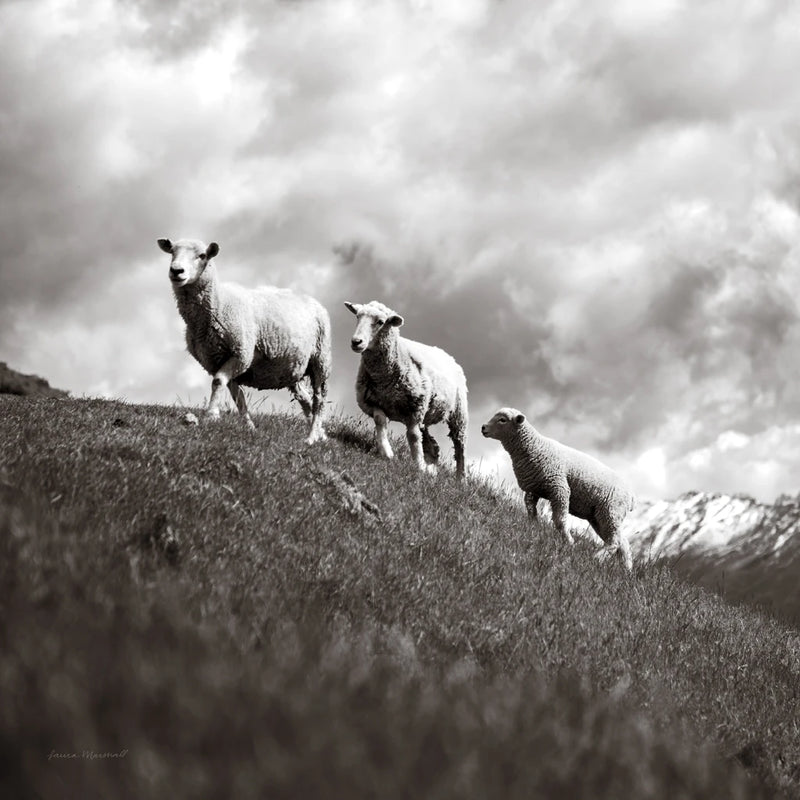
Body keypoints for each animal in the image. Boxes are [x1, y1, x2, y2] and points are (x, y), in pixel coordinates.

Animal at [158, 238, 330, 444]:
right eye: (172, 252)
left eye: (202, 255)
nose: (176, 271)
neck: (218, 304)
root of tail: (312, 300)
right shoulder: (217, 361)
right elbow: (236, 394)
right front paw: (249, 426)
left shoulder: (242, 353)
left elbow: (218, 382)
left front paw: (211, 414)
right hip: (292, 368)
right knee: (305, 399)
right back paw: (320, 434)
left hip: (321, 359)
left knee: (319, 400)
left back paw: (311, 437)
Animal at [344, 300, 468, 478]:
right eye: (357, 316)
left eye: (381, 322)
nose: (356, 342)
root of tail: (447, 354)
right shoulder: (371, 402)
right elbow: (380, 420)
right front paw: (386, 452)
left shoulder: (415, 408)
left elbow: (413, 436)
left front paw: (418, 465)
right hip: (427, 415)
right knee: (433, 446)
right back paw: (432, 470)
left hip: (459, 412)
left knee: (460, 445)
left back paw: (460, 478)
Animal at [481, 407, 634, 570]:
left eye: (502, 420)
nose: (483, 427)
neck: (534, 447)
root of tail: (631, 496)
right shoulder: (533, 490)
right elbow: (531, 511)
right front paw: (533, 528)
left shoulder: (559, 488)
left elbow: (560, 520)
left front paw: (569, 542)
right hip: (600, 516)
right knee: (623, 543)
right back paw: (626, 569)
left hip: (610, 511)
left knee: (615, 541)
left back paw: (598, 557)